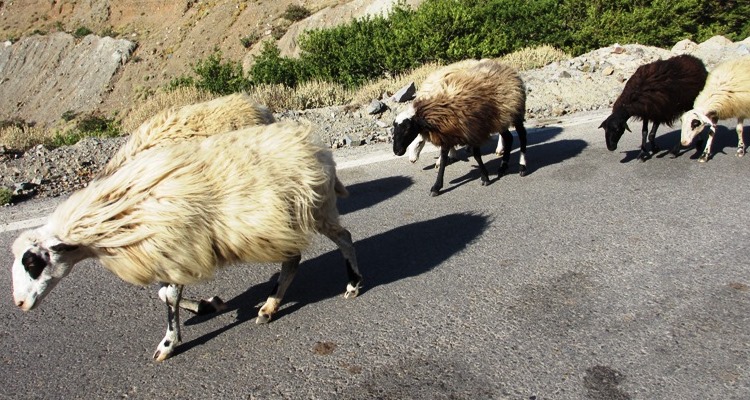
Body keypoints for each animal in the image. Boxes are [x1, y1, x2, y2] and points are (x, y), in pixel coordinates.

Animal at [11, 120, 362, 362]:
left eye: (32, 262)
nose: (19, 304)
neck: (113, 216)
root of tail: (316, 147)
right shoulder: (168, 255)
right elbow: (164, 294)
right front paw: (208, 305)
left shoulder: (179, 247)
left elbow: (168, 297)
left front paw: (168, 344)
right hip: (286, 223)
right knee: (293, 260)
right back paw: (269, 306)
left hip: (316, 210)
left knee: (344, 239)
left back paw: (352, 284)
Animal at [392, 59, 528, 196]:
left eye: (408, 129)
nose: (397, 152)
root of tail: (506, 67)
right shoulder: (447, 133)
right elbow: (444, 159)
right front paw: (436, 186)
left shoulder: (474, 130)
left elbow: (477, 155)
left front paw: (485, 177)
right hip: (501, 117)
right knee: (509, 138)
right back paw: (502, 167)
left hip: (515, 112)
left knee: (522, 136)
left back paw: (521, 166)